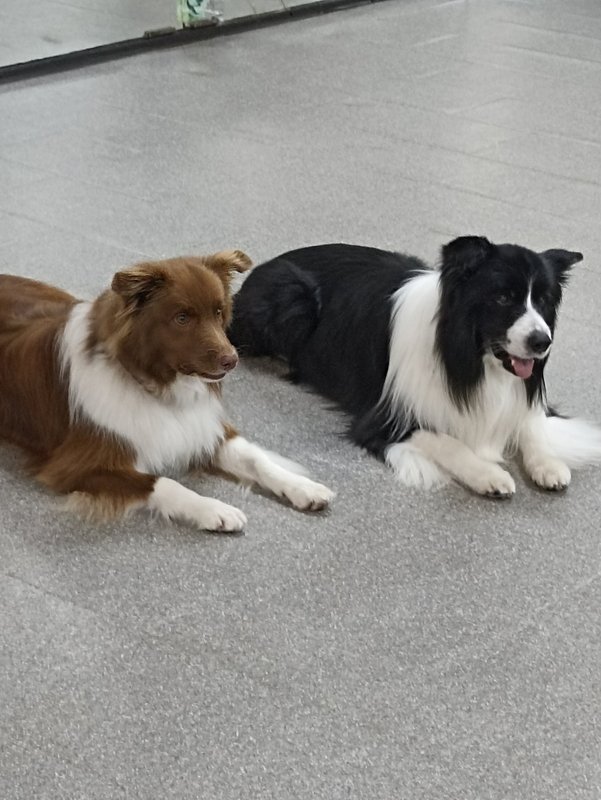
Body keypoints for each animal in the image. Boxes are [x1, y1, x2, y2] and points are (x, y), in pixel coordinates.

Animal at [0, 250, 334, 530]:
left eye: (218, 312)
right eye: (182, 318)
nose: (232, 360)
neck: (156, 385)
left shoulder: (203, 427)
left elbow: (256, 458)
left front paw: (303, 487)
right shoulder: (79, 463)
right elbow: (162, 482)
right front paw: (214, 510)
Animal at [229, 237, 601, 497]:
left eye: (542, 299)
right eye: (503, 297)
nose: (542, 341)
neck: (467, 356)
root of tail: (260, 268)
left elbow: (532, 424)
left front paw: (548, 465)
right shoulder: (385, 417)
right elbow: (447, 441)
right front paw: (489, 474)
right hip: (291, 296)